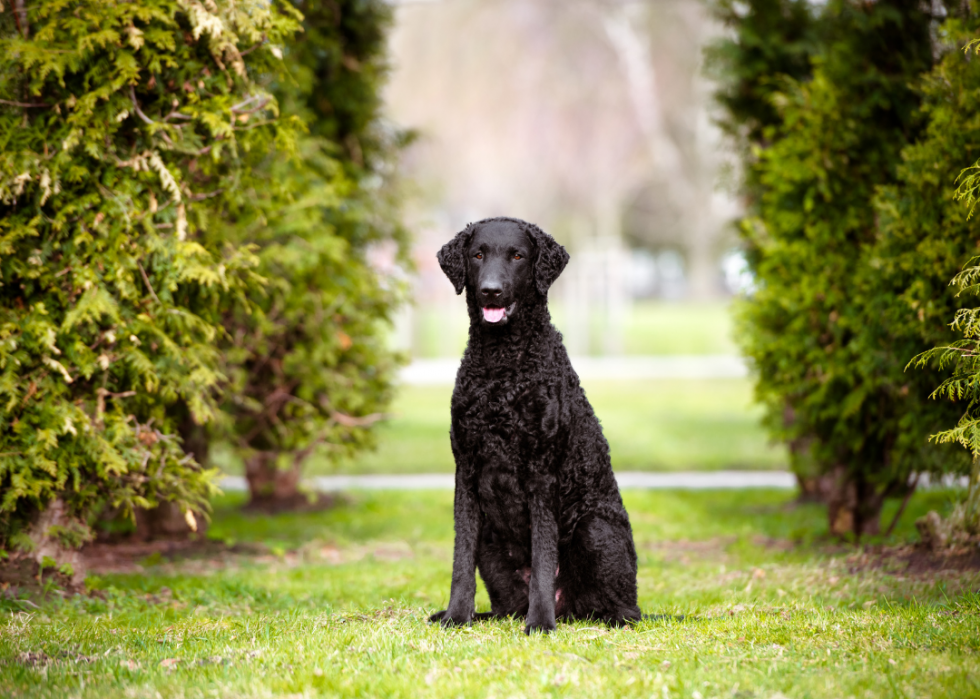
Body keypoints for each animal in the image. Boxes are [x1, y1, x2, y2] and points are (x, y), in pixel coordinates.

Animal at [428, 217, 644, 636]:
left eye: (517, 256)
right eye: (477, 255)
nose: (490, 290)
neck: (502, 365)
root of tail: (570, 609)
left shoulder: (543, 473)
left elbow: (544, 556)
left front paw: (540, 623)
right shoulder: (466, 469)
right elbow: (460, 560)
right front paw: (455, 616)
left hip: (595, 527)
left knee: (623, 610)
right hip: (491, 543)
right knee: (505, 607)